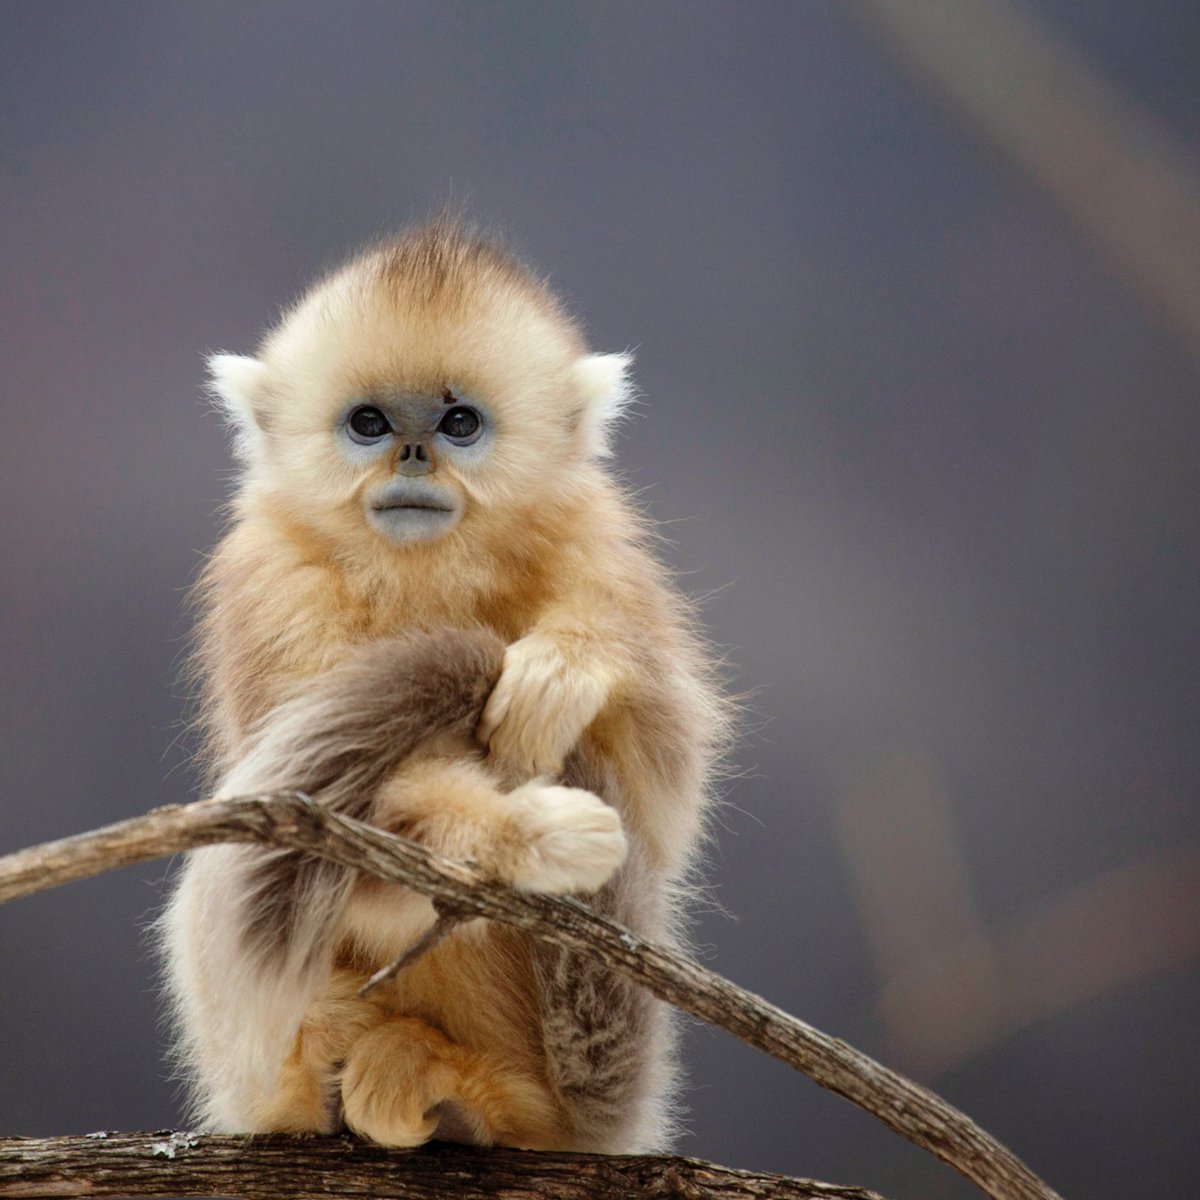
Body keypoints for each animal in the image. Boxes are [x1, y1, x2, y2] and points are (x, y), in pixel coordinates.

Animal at [159, 220, 730, 1154]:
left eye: (460, 423)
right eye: (368, 422)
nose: (415, 455)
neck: (425, 578)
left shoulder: (598, 545)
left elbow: (667, 789)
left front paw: (568, 666)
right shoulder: (272, 583)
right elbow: (298, 822)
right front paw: (523, 838)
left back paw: (472, 1100)